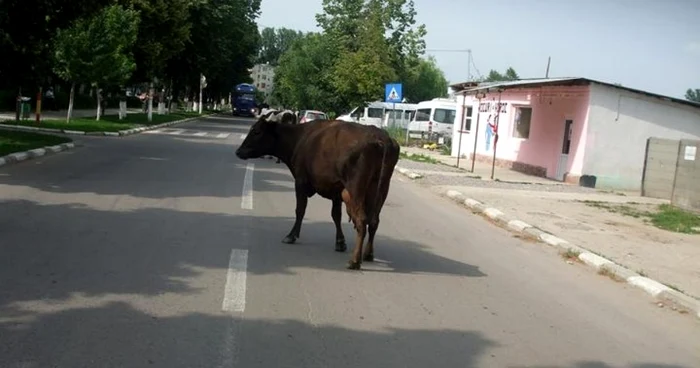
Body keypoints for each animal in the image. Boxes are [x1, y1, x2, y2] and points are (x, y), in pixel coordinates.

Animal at [235, 110, 400, 270]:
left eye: (256, 131)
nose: (238, 151)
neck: (299, 139)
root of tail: (380, 137)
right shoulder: (336, 189)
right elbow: (336, 215)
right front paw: (340, 242)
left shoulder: (300, 181)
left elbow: (300, 210)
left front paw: (291, 235)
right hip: (381, 188)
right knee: (374, 221)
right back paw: (368, 254)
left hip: (356, 187)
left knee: (362, 220)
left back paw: (354, 261)